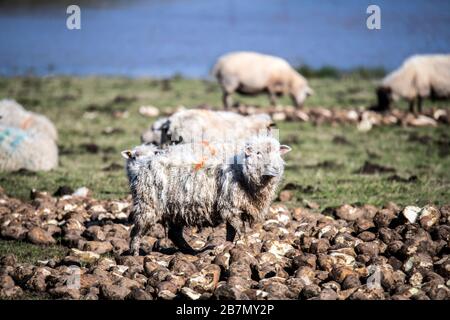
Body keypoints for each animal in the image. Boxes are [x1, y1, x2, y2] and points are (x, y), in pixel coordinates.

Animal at [122, 135, 292, 255]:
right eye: (258, 153)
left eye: (278, 153)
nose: (275, 169)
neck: (241, 172)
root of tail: (143, 166)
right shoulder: (229, 207)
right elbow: (240, 230)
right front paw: (247, 246)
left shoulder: (234, 208)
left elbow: (231, 232)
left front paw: (226, 246)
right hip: (147, 204)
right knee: (136, 231)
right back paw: (135, 254)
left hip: (176, 208)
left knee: (174, 234)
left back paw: (191, 251)